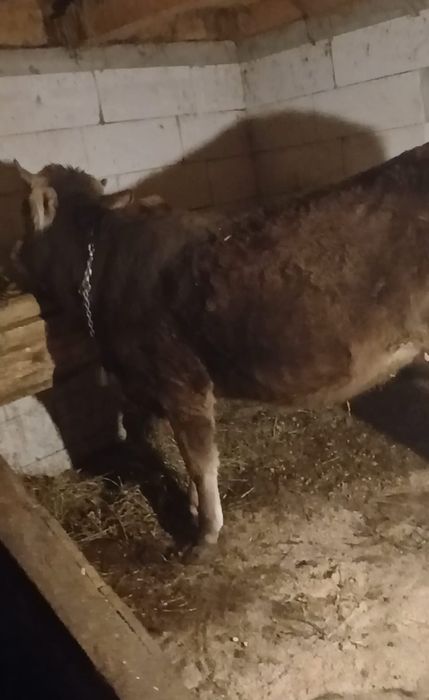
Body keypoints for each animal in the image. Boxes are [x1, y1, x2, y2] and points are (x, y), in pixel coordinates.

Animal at [13, 143, 429, 554]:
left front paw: (204, 535)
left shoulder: (180, 380)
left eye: (23, 210)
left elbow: (199, 461)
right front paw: (194, 509)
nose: (12, 257)